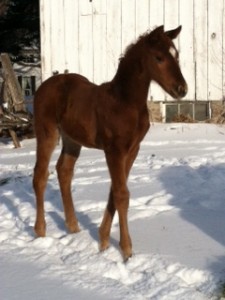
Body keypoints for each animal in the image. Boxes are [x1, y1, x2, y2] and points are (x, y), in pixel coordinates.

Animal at [32, 25, 187, 260]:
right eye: (159, 58)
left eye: (176, 55)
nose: (182, 89)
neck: (125, 102)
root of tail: (43, 86)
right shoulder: (114, 150)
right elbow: (121, 194)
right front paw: (126, 250)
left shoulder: (132, 149)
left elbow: (115, 191)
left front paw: (103, 240)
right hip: (47, 133)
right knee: (40, 175)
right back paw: (40, 231)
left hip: (72, 139)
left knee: (64, 171)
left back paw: (73, 227)